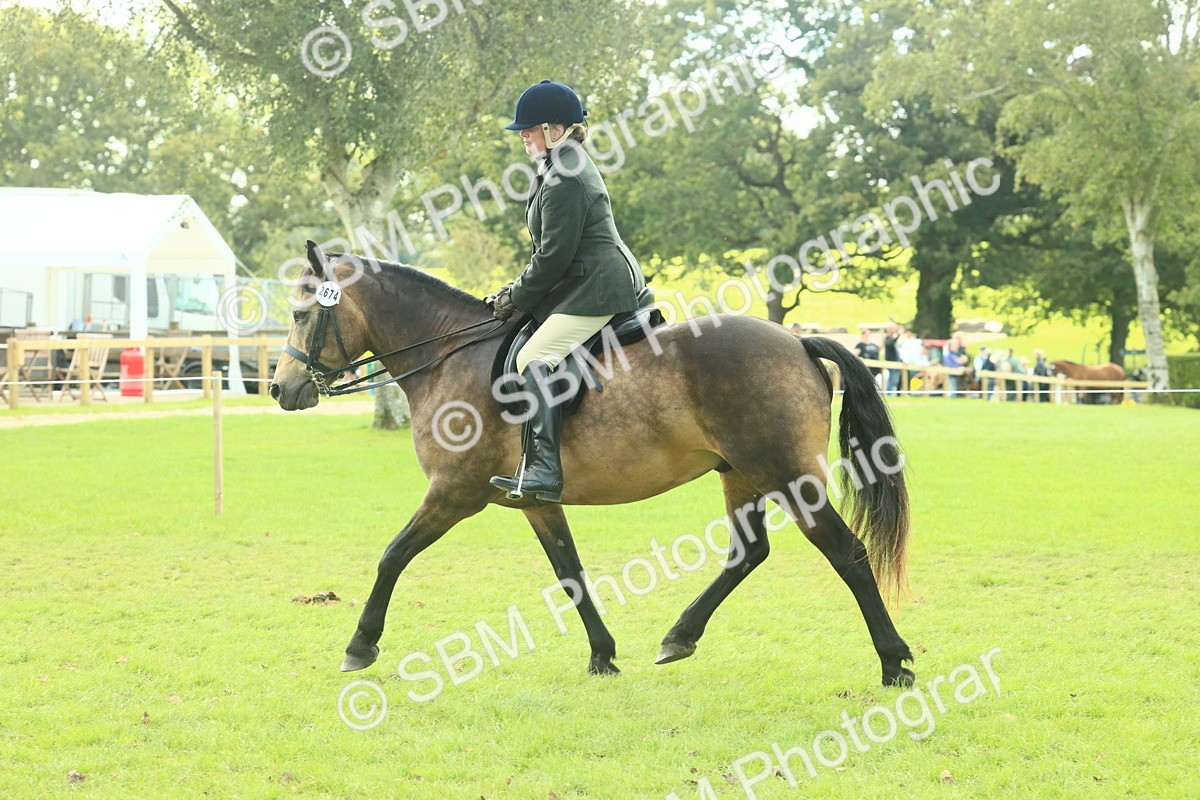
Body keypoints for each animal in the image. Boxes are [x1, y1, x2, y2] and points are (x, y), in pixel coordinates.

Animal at [269, 243, 916, 687]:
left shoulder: (454, 493)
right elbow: (570, 572)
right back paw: (678, 637)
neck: (450, 356)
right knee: (748, 552)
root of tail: (798, 341)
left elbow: (392, 555)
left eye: (301, 314)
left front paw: (360, 645)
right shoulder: (535, 500)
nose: (279, 388)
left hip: (786, 476)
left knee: (847, 553)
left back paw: (895, 662)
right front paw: (602, 654)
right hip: (740, 474)